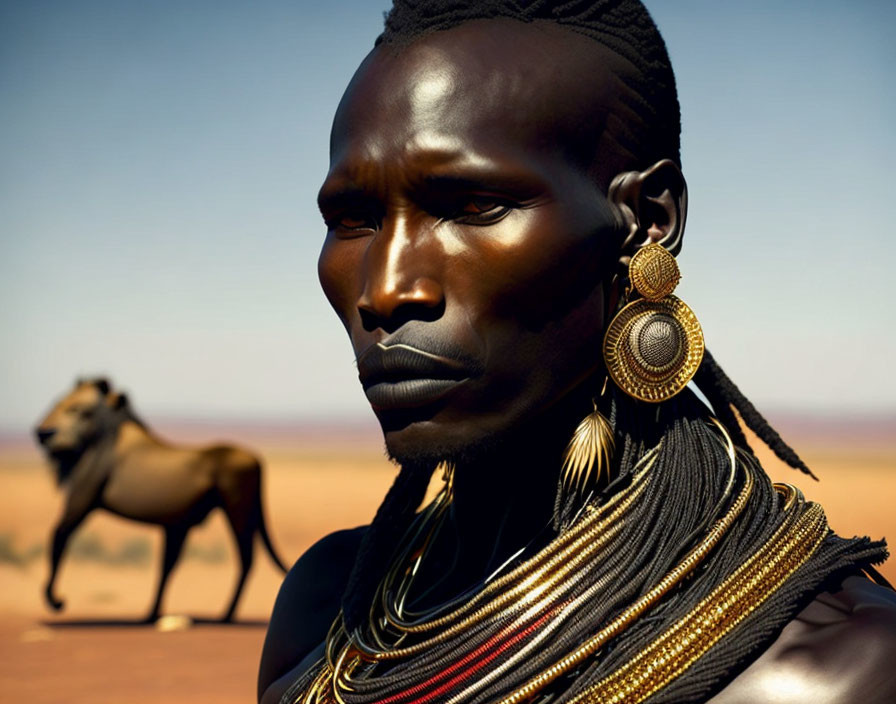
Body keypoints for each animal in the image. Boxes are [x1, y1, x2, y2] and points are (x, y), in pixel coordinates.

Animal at [34, 380, 288, 620]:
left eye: (76, 409)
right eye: (58, 403)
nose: (42, 433)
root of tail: (257, 460)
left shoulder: (81, 499)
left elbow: (58, 536)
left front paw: (55, 601)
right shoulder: (174, 525)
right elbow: (166, 567)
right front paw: (152, 614)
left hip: (237, 508)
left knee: (246, 559)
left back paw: (225, 616)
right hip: (221, 516)